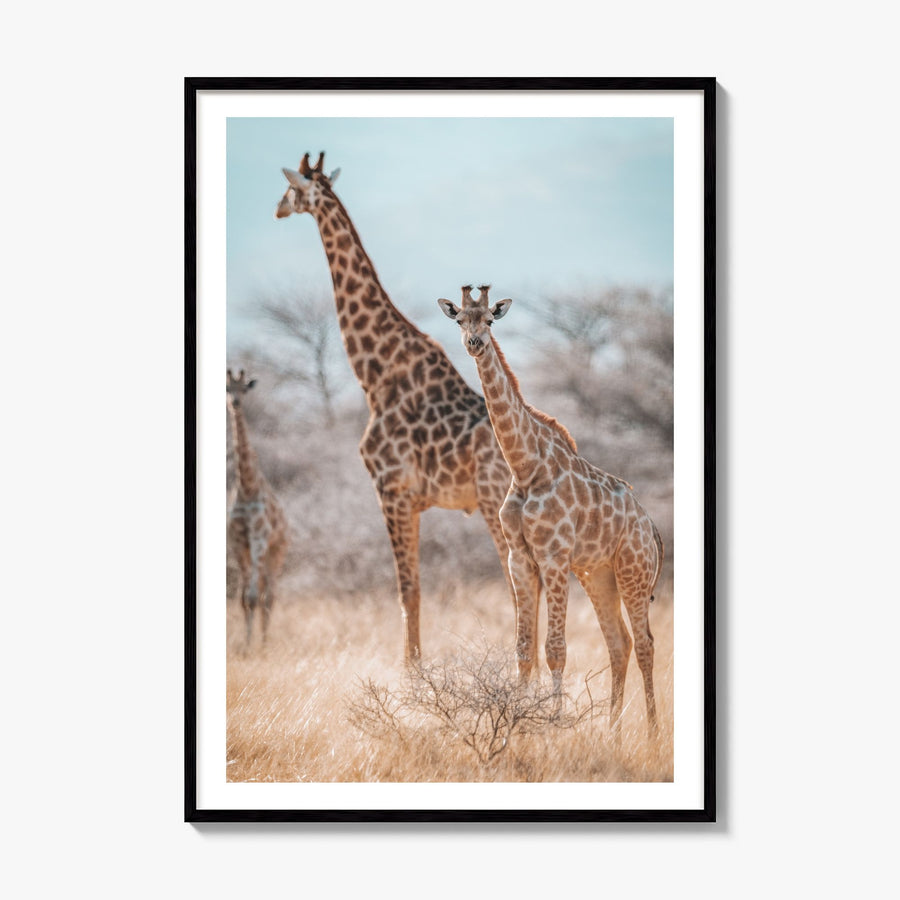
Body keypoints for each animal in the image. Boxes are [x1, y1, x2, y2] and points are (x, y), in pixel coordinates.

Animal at [275, 153, 515, 662]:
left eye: (290, 189)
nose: (277, 210)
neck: (376, 372)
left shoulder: (390, 488)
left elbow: (406, 589)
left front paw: (411, 671)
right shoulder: (413, 499)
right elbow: (415, 587)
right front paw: (415, 666)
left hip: (493, 502)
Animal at [438, 286, 664, 735]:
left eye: (489, 320)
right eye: (459, 321)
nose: (475, 343)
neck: (525, 466)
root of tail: (651, 528)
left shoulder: (554, 556)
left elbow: (555, 648)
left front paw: (554, 725)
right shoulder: (520, 558)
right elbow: (524, 649)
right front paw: (520, 725)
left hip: (633, 571)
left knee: (646, 644)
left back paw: (650, 733)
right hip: (599, 575)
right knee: (619, 643)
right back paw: (612, 732)